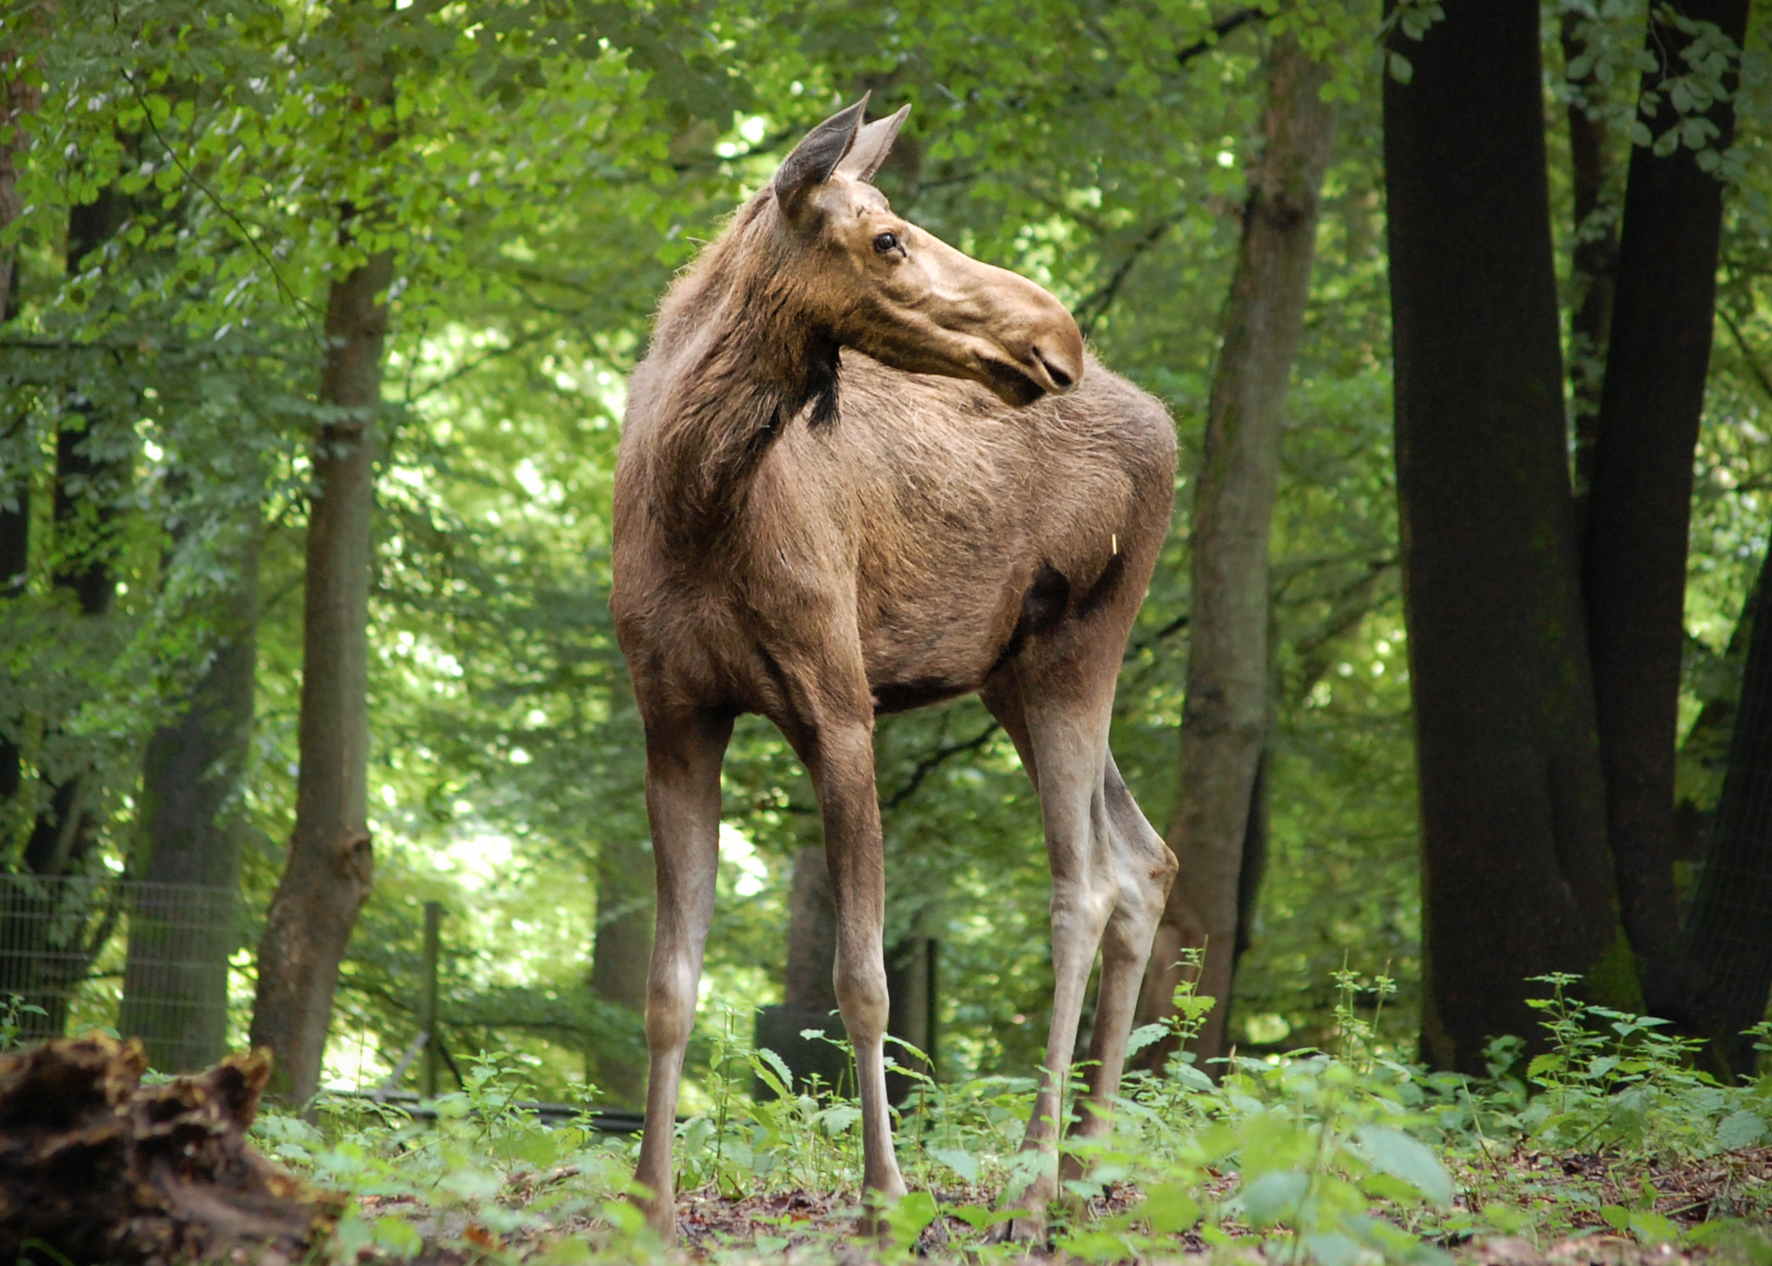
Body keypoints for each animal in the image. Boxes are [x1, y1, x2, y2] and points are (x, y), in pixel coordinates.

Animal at [616, 101, 1183, 1234]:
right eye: (886, 239)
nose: (1057, 335)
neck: (694, 495)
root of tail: (1173, 428)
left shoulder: (839, 705)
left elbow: (863, 982)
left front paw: (884, 1199)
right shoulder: (672, 716)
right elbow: (668, 984)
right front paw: (649, 1209)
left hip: (1080, 649)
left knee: (1085, 883)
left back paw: (1032, 1190)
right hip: (1015, 670)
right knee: (1142, 859)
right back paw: (1084, 1173)